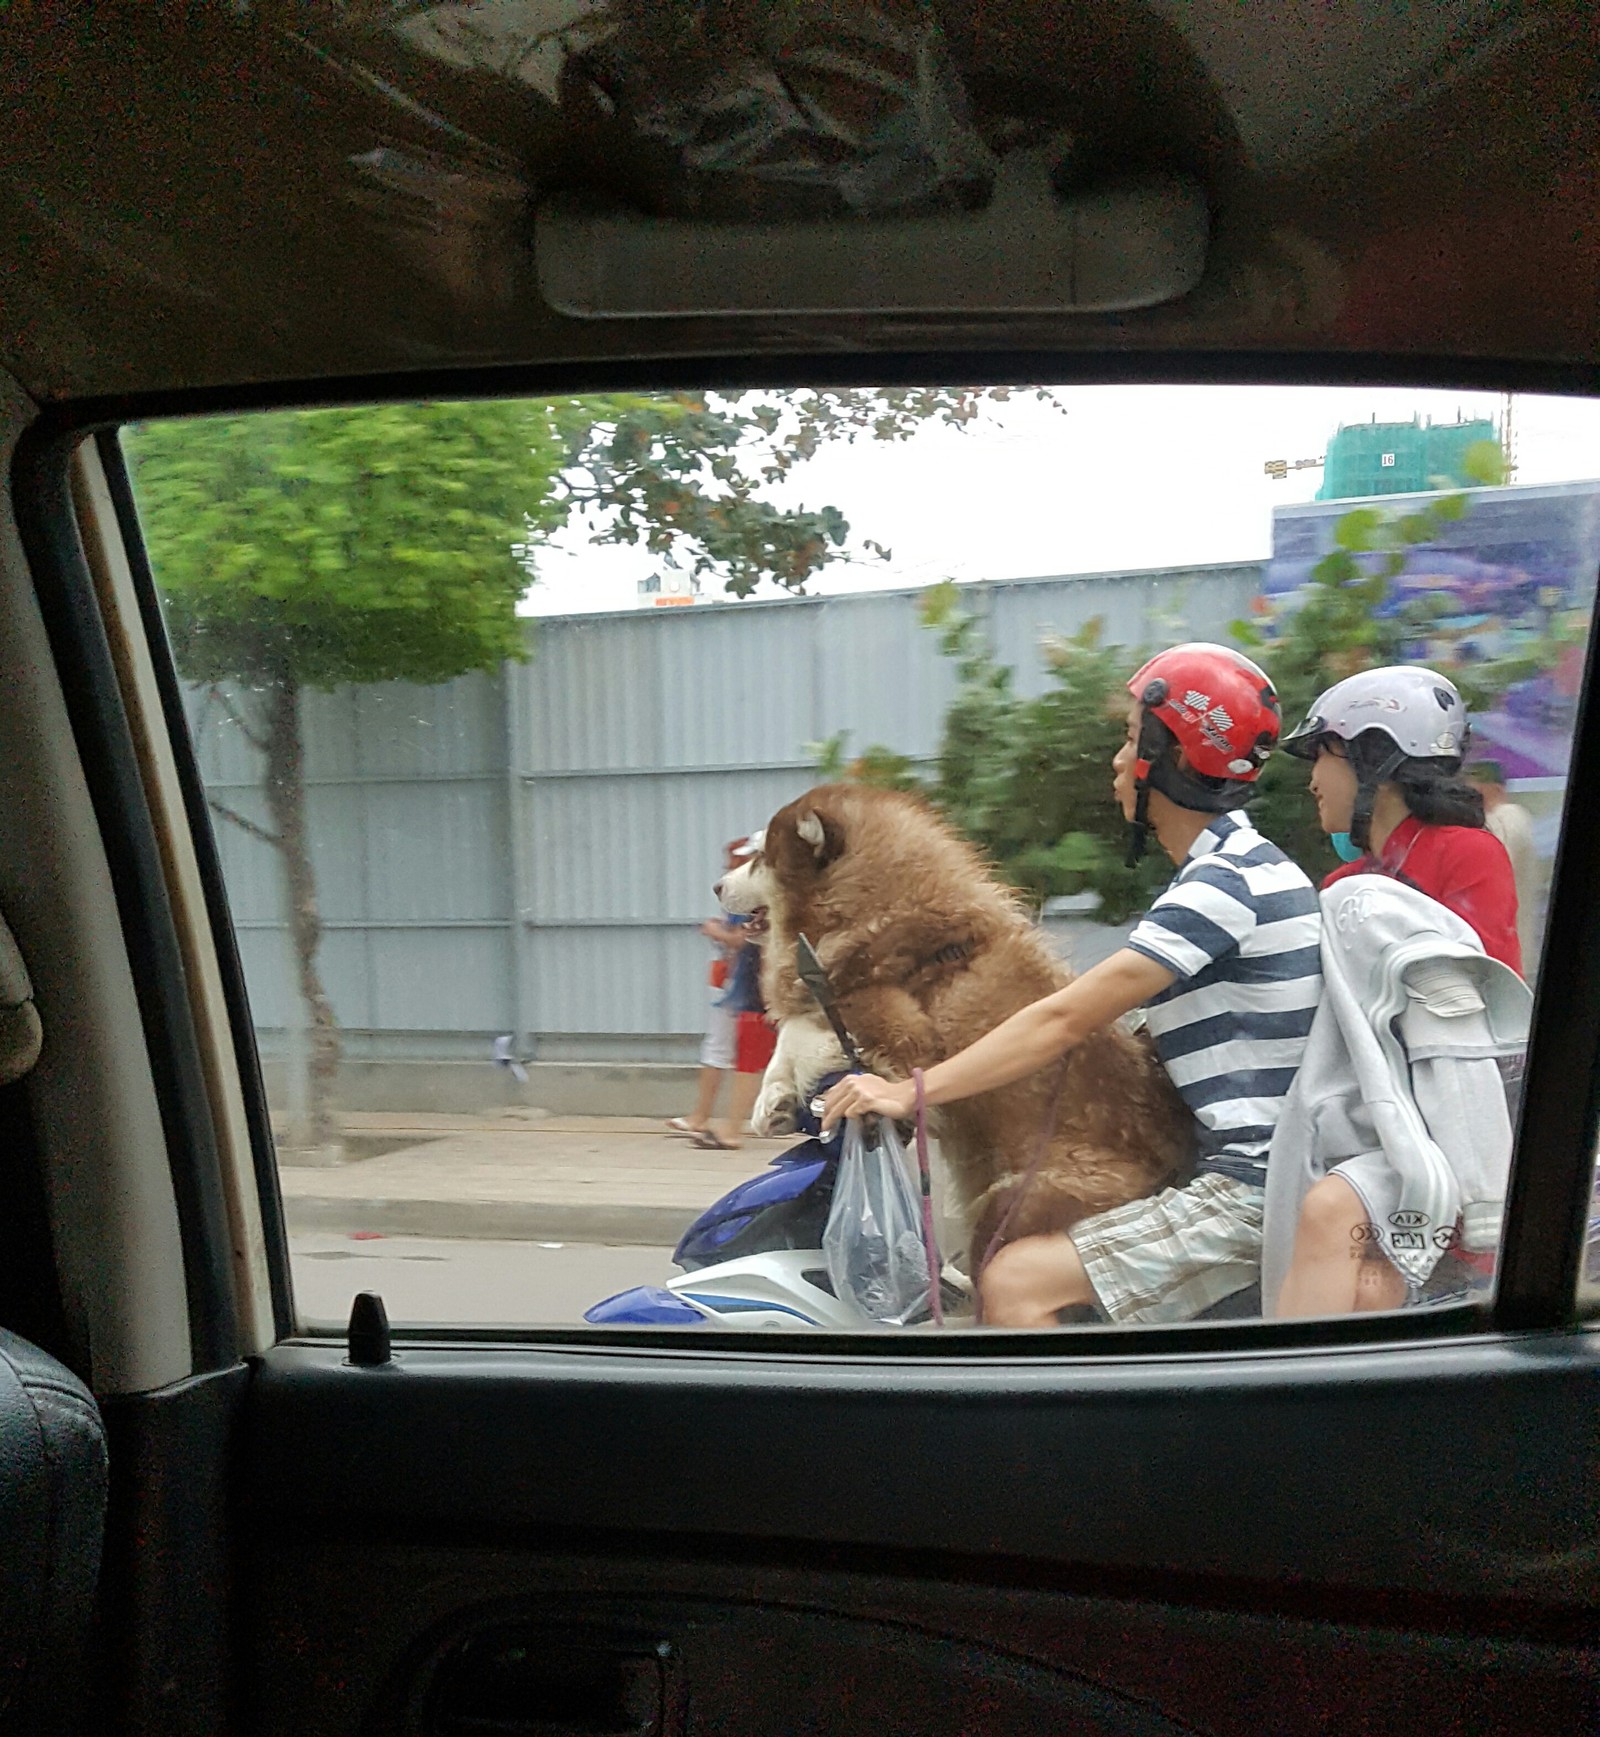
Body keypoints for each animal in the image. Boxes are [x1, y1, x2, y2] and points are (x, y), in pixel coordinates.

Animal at [719, 781, 1195, 1257]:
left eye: (761, 856)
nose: (716, 886)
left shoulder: (901, 1031)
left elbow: (807, 1027)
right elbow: (791, 1034)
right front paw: (774, 1102)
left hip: (1012, 1202)